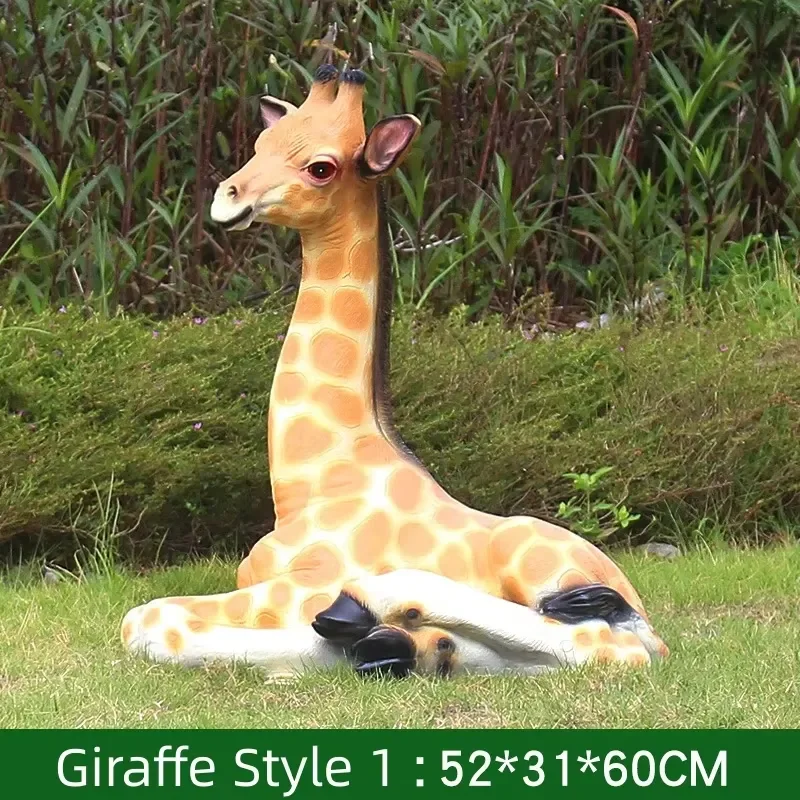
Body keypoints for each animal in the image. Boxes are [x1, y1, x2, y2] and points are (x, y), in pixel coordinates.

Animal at [121, 64, 669, 677]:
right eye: (260, 145)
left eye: (321, 167)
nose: (227, 197)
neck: (312, 481)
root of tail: (649, 615)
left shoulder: (303, 584)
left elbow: (148, 620)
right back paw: (411, 644)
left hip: (544, 568)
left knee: (609, 644)